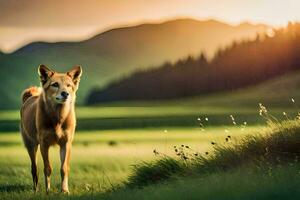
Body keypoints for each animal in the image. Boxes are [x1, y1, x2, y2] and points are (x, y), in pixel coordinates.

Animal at [19, 65, 82, 193]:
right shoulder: (44, 144)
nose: (65, 93)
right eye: (55, 84)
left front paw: (64, 190)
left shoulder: (66, 143)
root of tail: (30, 96)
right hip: (31, 145)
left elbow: (64, 168)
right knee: (34, 168)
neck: (58, 117)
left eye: (69, 85)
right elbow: (47, 168)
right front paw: (48, 190)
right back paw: (36, 189)